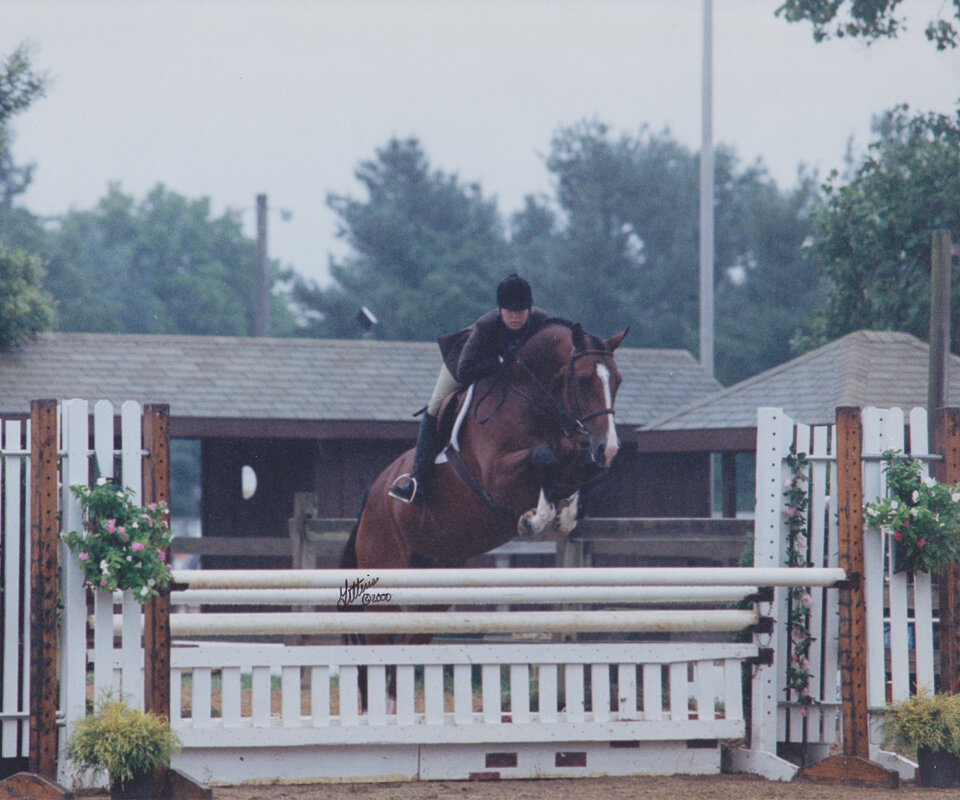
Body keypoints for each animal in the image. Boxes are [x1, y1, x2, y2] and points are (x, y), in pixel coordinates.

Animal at [342, 318, 628, 576]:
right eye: (582, 380)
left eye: (618, 381)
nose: (609, 448)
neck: (530, 403)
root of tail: (371, 495)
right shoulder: (497, 478)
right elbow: (543, 456)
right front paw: (533, 519)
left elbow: (583, 469)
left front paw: (562, 515)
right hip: (384, 559)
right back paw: (407, 489)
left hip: (443, 562)